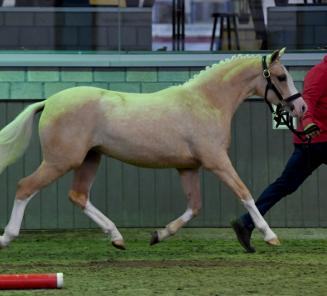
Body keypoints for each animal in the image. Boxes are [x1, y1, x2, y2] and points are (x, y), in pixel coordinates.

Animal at [0, 48, 308, 250]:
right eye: (281, 77)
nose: (301, 107)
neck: (206, 102)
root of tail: (48, 101)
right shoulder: (217, 161)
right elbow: (244, 193)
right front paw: (270, 236)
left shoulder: (188, 167)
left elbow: (194, 207)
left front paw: (158, 235)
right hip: (61, 161)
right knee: (25, 186)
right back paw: (7, 237)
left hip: (90, 158)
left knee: (78, 195)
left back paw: (117, 237)